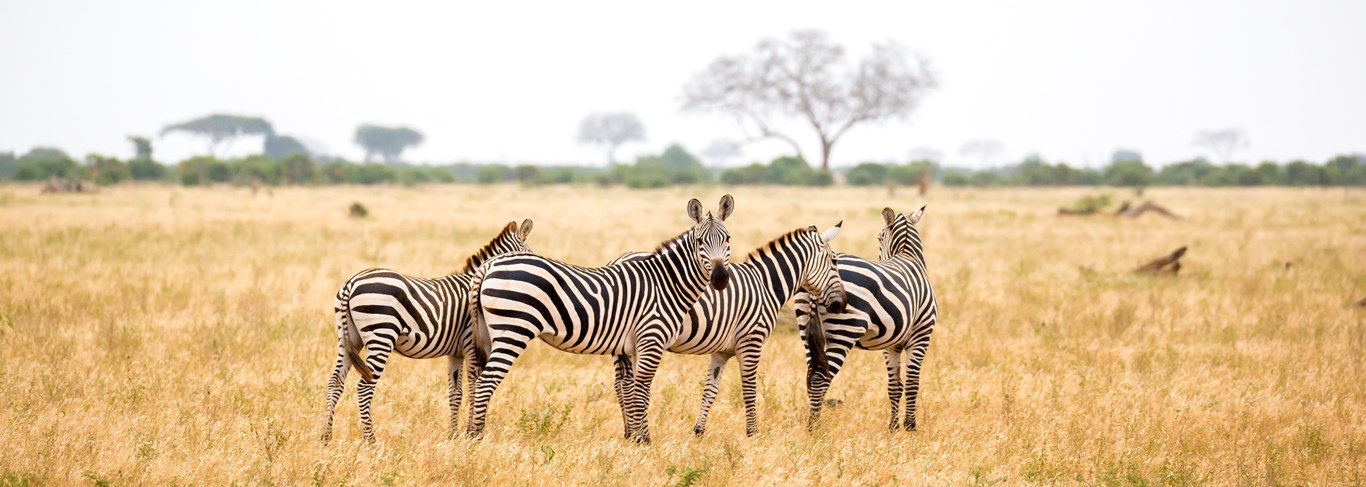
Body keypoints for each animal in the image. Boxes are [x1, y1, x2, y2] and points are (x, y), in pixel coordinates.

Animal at [319, 218, 532, 441]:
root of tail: (350, 284)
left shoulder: (456, 353)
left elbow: (455, 393)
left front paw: (453, 435)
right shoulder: (470, 345)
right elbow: (474, 387)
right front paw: (470, 434)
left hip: (348, 337)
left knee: (335, 383)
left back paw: (326, 437)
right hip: (381, 335)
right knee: (364, 387)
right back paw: (371, 440)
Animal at [464, 192, 737, 439]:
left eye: (728, 238)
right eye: (700, 241)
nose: (720, 279)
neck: (665, 284)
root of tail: (488, 265)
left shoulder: (636, 346)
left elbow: (635, 389)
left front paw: (636, 438)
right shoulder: (651, 338)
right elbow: (642, 390)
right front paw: (644, 441)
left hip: (486, 334)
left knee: (475, 379)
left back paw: (469, 434)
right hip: (513, 330)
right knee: (485, 382)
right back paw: (477, 438)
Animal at [606, 222, 846, 433]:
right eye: (834, 262)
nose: (842, 304)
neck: (765, 284)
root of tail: (617, 259)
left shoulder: (721, 352)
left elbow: (710, 391)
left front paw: (699, 431)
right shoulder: (751, 342)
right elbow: (749, 388)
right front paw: (753, 433)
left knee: (621, 384)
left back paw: (629, 431)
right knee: (628, 385)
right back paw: (633, 432)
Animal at [797, 203, 934, 428]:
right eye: (879, 237)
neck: (908, 256)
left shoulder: (891, 344)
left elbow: (895, 386)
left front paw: (893, 427)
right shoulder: (921, 336)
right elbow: (913, 382)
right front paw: (910, 426)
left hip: (806, 331)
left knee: (811, 375)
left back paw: (812, 424)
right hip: (843, 331)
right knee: (820, 379)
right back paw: (814, 429)